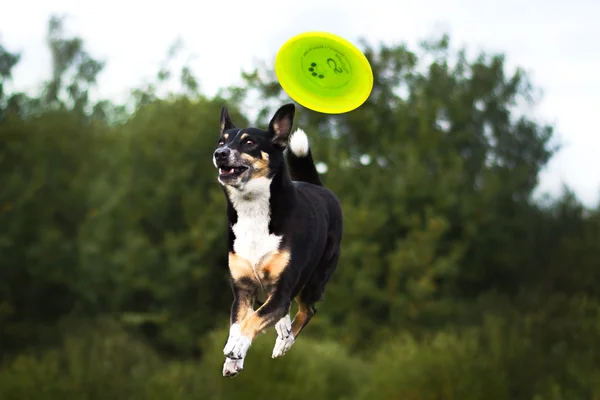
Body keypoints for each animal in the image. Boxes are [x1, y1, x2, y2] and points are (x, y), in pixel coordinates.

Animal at [213, 102, 342, 376]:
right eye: (221, 141)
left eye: (249, 142)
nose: (220, 153)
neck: (252, 210)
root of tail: (319, 186)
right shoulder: (243, 289)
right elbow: (238, 321)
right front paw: (233, 355)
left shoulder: (283, 288)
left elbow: (253, 319)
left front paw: (238, 345)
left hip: (315, 277)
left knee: (307, 309)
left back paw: (285, 342)